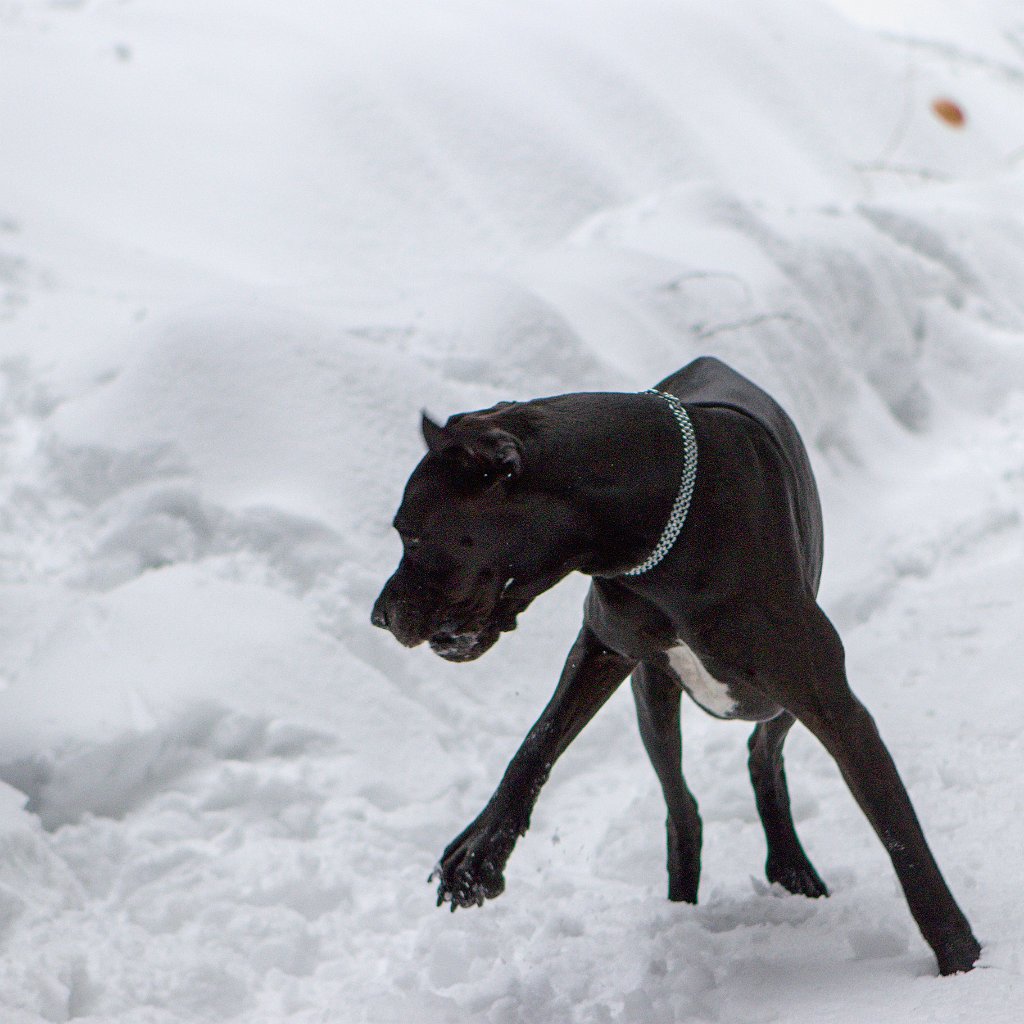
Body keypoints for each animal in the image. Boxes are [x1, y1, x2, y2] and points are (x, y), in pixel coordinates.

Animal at [372, 358, 978, 974]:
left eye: (412, 534)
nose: (378, 615)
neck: (659, 531)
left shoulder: (831, 701)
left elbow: (900, 832)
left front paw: (960, 957)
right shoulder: (604, 647)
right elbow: (537, 743)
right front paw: (480, 852)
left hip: (779, 695)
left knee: (762, 752)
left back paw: (790, 866)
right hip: (654, 697)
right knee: (682, 805)